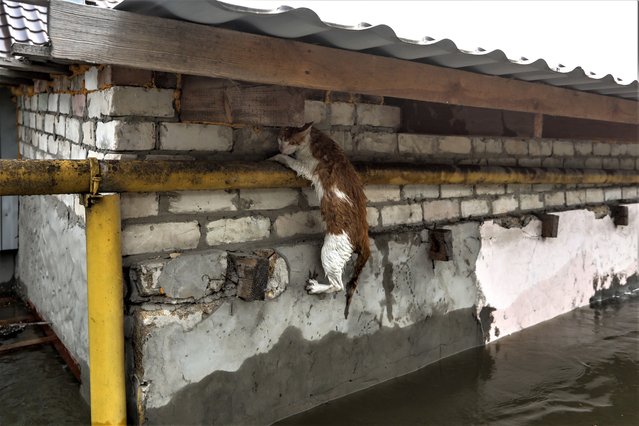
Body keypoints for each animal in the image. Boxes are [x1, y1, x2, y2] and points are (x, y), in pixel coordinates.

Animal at [272, 121, 372, 318]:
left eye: (291, 141)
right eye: (280, 138)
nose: (281, 147)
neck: (316, 138)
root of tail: (364, 235)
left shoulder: (307, 167)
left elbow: (291, 160)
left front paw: (277, 156)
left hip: (330, 251)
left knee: (338, 286)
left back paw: (315, 287)